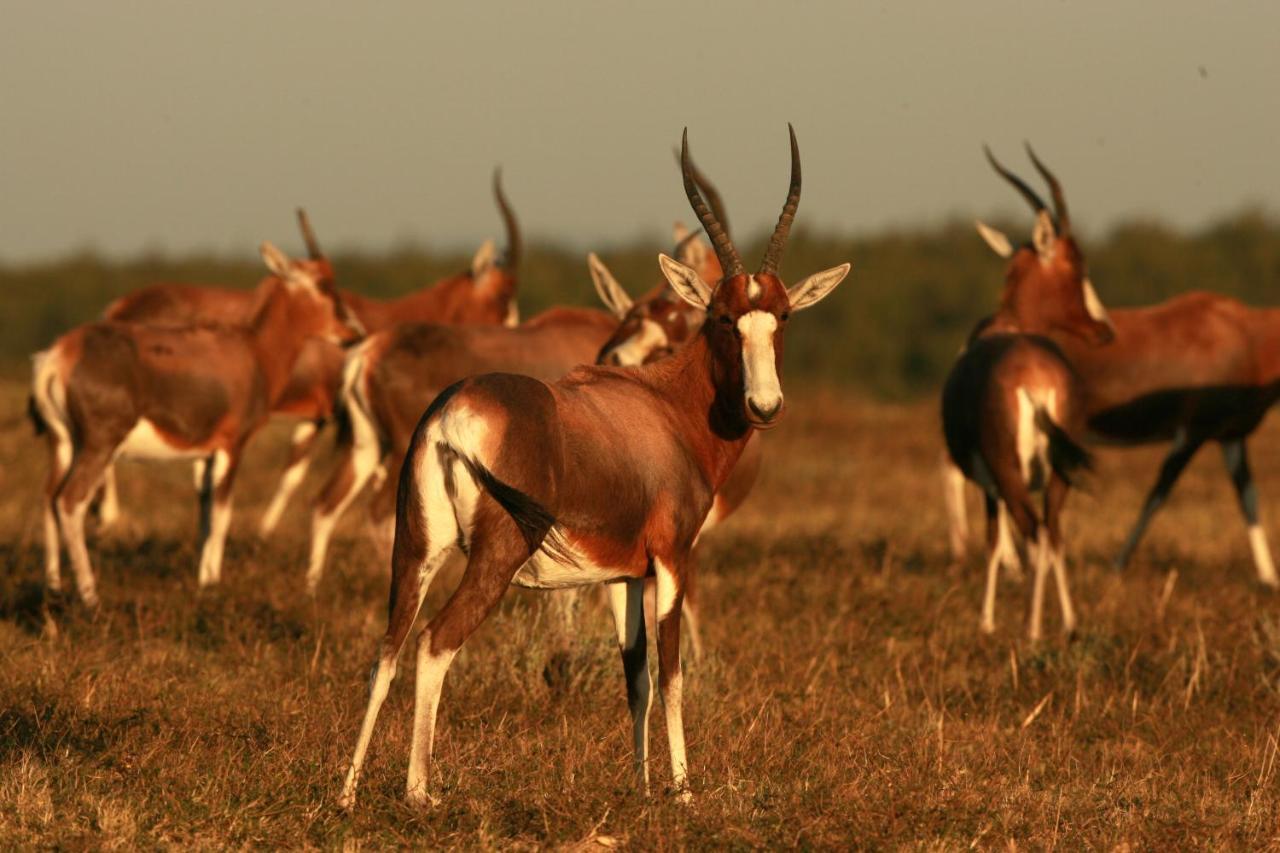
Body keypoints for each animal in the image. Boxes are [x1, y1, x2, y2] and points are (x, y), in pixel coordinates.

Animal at [97, 171, 522, 532]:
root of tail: (120, 307)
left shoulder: (316, 419)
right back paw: (110, 519)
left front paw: (264, 530)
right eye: (500, 301)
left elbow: (292, 473)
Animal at [337, 124, 849, 804]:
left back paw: (347, 793)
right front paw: (683, 791)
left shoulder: (622, 576)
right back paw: (422, 792)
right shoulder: (672, 559)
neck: (664, 406)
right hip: (496, 556)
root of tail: (453, 412)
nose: (764, 405)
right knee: (434, 644)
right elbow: (673, 671)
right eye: (722, 317)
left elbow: (636, 677)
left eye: (783, 315)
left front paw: (642, 785)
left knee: (387, 649)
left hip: (416, 549)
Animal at [942, 144, 1111, 637]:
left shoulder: (989, 481)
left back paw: (1032, 628)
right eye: (1079, 266)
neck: (1009, 325)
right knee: (1053, 532)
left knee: (1033, 532)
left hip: (1010, 473)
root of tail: (1035, 379)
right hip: (1058, 474)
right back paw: (1066, 625)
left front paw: (986, 620)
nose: (1104, 328)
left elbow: (995, 542)